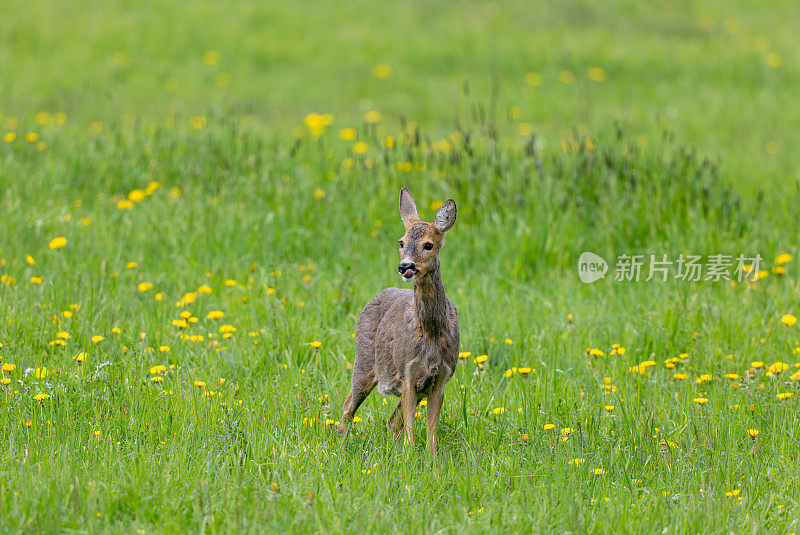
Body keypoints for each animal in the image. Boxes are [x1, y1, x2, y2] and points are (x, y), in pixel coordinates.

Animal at [338, 186, 460, 454]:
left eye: (429, 245)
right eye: (401, 242)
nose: (405, 266)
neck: (430, 333)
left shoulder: (441, 377)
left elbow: (431, 432)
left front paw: (430, 459)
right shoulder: (407, 372)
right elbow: (412, 429)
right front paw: (408, 458)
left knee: (391, 421)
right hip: (364, 362)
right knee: (348, 407)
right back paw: (338, 447)